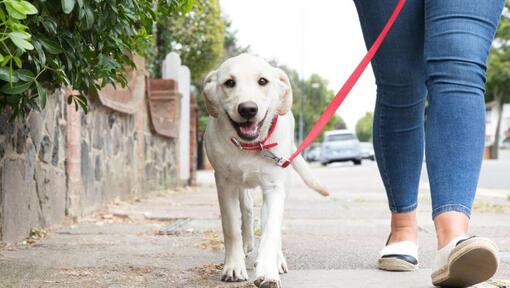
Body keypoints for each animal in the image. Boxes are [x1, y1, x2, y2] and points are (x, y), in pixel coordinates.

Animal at [201, 53, 328, 286]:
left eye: (263, 81)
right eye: (229, 83)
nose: (248, 109)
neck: (250, 146)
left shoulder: (274, 187)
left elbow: (271, 231)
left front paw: (268, 271)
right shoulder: (224, 184)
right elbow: (231, 228)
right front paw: (234, 267)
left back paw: (277, 259)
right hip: (241, 185)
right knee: (247, 208)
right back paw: (247, 245)